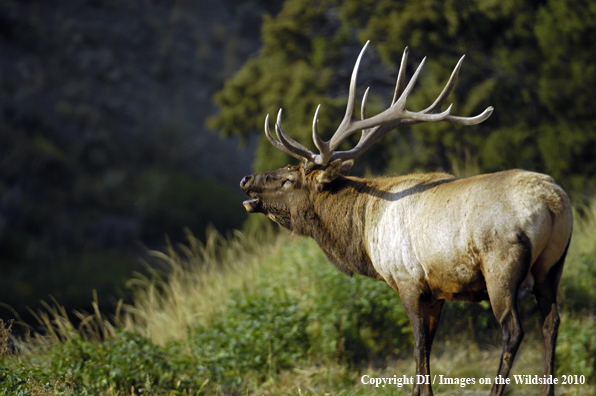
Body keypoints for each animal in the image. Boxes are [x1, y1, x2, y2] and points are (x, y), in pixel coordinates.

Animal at [239, 41, 572, 396]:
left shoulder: (408, 280)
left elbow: (418, 347)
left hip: (501, 266)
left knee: (513, 330)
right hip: (552, 266)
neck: (364, 233)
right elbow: (427, 349)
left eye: (288, 179)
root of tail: (553, 203)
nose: (246, 179)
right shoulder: (438, 292)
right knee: (551, 323)